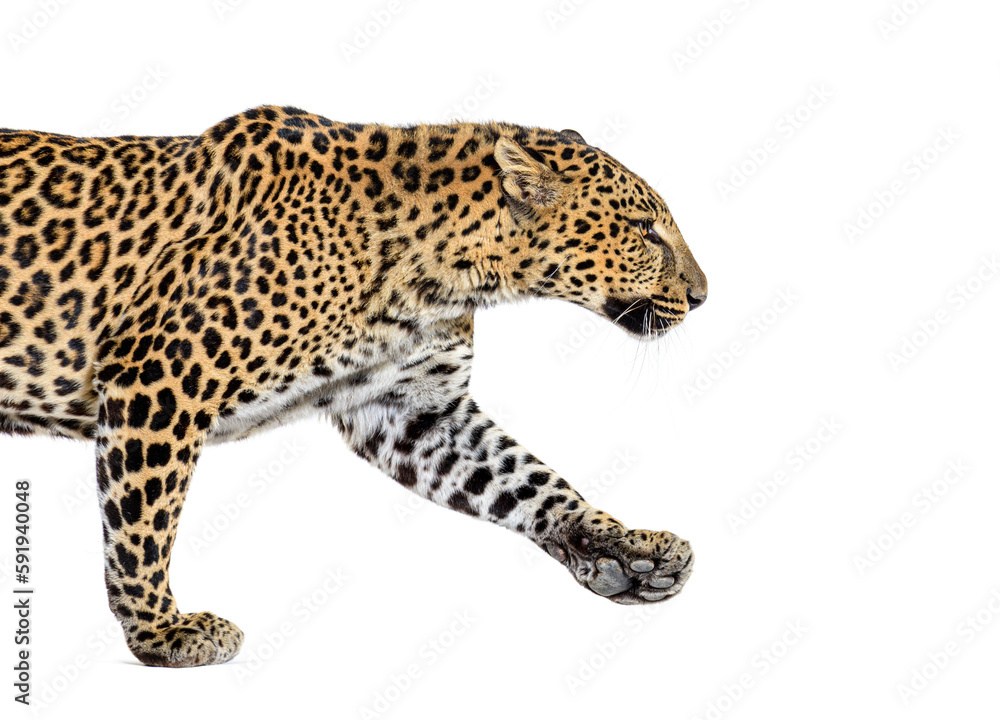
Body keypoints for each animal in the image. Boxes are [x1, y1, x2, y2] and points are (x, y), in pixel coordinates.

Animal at [0, 105, 707, 668]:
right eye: (645, 230)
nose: (703, 296)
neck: (443, 273)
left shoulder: (412, 410)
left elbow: (527, 480)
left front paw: (624, 553)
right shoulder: (159, 377)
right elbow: (142, 522)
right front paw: (161, 633)